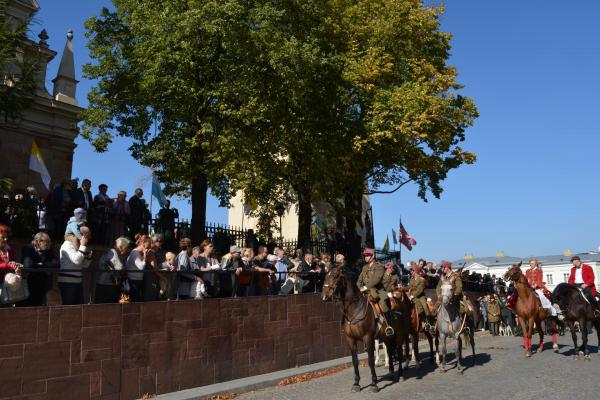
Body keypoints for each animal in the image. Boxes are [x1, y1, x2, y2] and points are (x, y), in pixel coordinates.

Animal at [324, 264, 408, 392]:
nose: (324, 295)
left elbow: (370, 360)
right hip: (387, 337)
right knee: (389, 351)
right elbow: (355, 361)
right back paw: (391, 373)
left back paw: (401, 374)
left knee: (398, 351)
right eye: (325, 276)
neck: (354, 310)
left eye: (335, 276)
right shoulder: (350, 339)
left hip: (399, 334)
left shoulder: (368, 338)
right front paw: (356, 383)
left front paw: (374, 384)